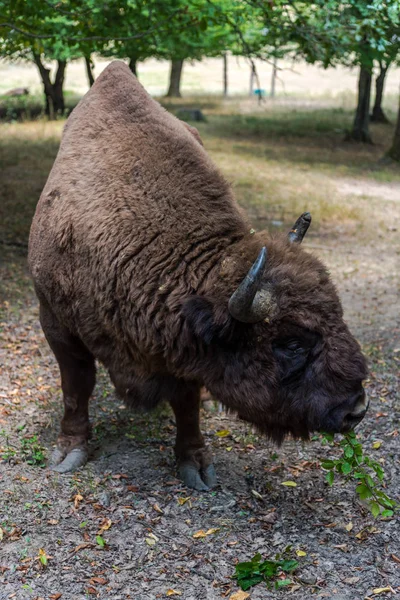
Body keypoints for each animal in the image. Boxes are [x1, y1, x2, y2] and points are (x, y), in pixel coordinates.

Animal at [28, 61, 368, 492]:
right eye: (290, 344)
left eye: (338, 315)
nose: (357, 409)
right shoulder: (55, 321)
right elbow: (76, 386)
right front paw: (70, 451)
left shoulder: (180, 346)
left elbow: (187, 400)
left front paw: (196, 465)